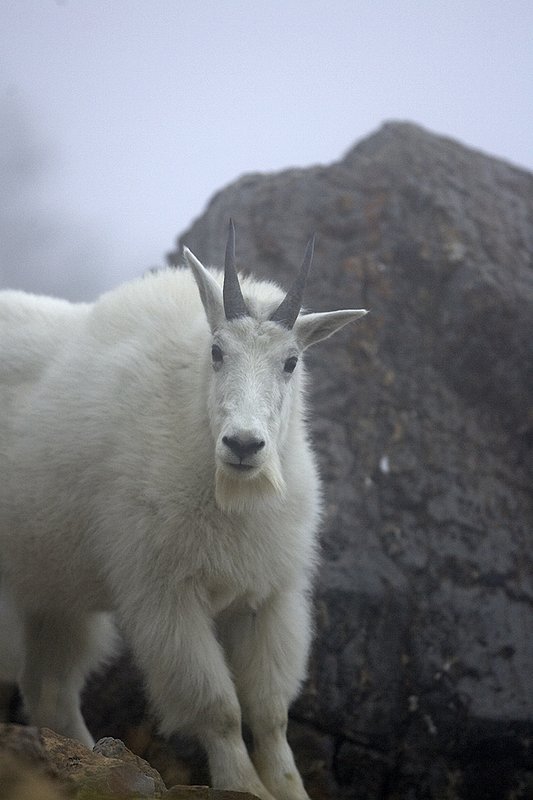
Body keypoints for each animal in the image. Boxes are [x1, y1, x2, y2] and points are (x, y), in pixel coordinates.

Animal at [0, 222, 367, 800]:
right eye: (216, 351)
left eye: (291, 362)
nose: (243, 444)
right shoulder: (166, 594)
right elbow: (219, 706)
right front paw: (244, 786)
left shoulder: (269, 595)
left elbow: (270, 711)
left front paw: (288, 789)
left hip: (51, 589)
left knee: (49, 687)